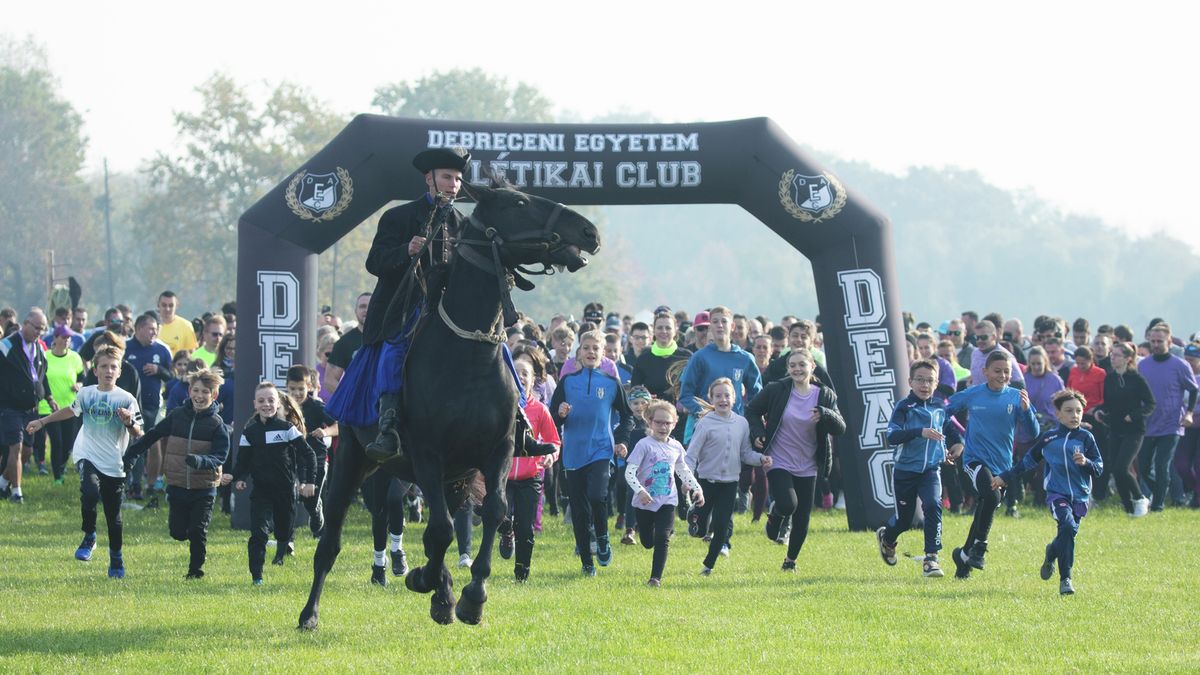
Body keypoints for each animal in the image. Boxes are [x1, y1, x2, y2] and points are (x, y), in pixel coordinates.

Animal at [300, 177, 600, 624]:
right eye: (519, 202)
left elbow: (492, 512)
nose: (589, 232)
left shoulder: (497, 450)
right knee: (332, 540)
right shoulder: (428, 454)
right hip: (356, 461)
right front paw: (435, 587)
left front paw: (471, 596)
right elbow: (440, 529)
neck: (468, 356)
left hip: (451, 476)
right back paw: (311, 613)